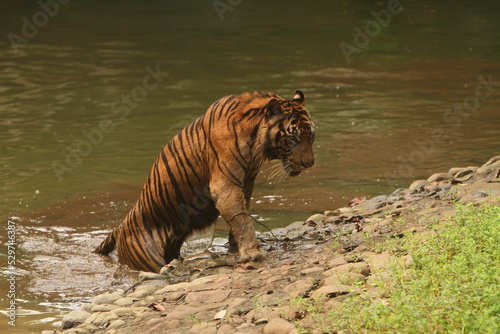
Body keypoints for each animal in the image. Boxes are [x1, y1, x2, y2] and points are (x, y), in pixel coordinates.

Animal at [95, 90, 314, 272]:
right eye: (293, 139)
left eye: (311, 136)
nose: (309, 163)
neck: (254, 140)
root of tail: (120, 226)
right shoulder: (225, 183)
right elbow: (240, 216)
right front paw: (252, 252)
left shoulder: (247, 179)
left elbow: (242, 210)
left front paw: (235, 247)